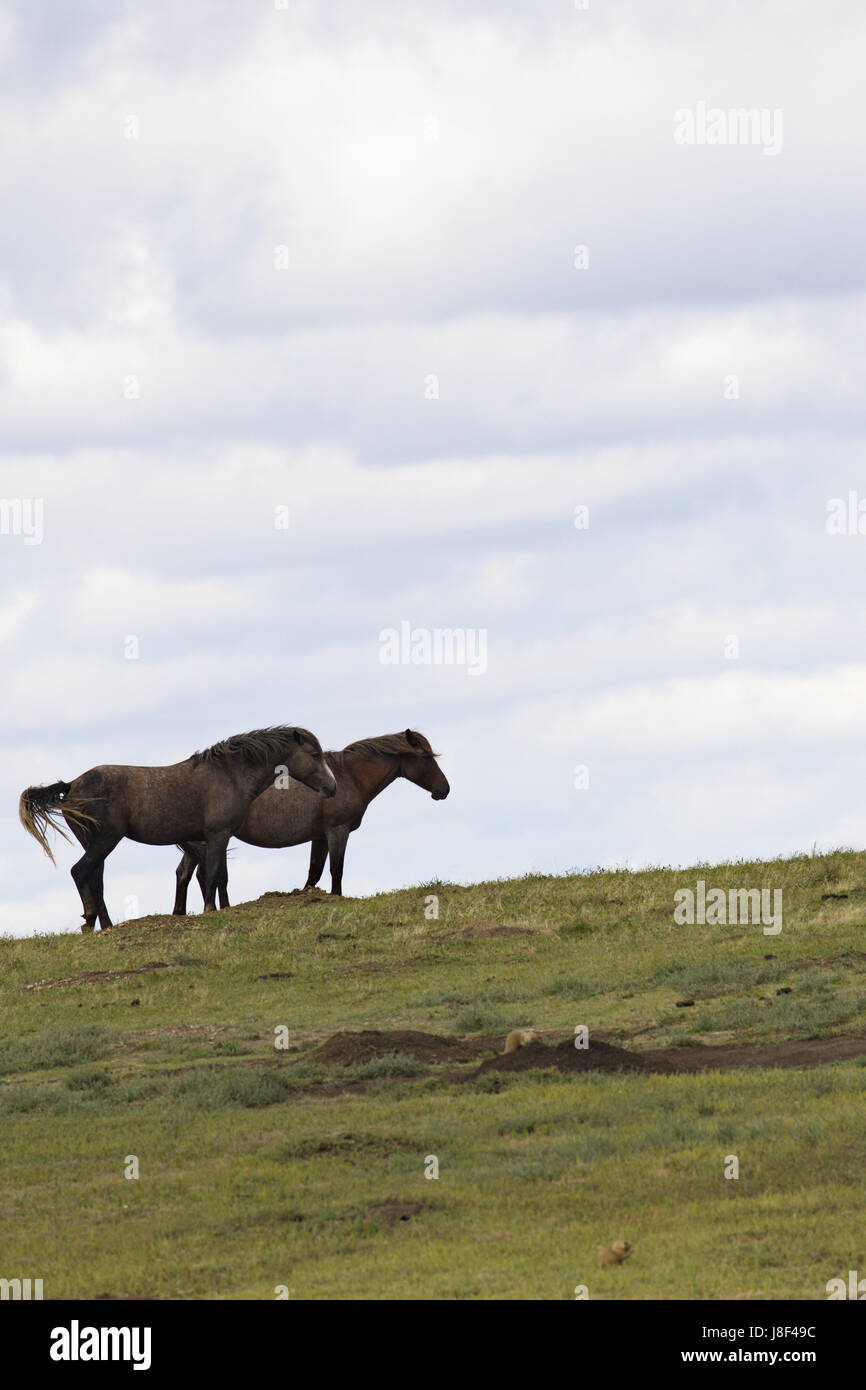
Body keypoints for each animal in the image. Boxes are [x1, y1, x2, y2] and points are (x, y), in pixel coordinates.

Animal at [20, 727, 336, 932]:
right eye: (314, 754)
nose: (331, 787)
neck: (230, 774)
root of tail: (72, 784)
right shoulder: (218, 835)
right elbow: (214, 875)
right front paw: (210, 910)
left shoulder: (213, 838)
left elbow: (216, 875)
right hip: (104, 841)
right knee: (81, 873)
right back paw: (94, 921)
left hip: (96, 844)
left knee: (95, 879)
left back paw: (101, 923)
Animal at [172, 728, 449, 909]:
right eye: (426, 757)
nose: (443, 790)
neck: (349, 777)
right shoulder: (337, 831)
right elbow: (336, 869)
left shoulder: (320, 837)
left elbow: (314, 873)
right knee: (206, 874)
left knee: (185, 874)